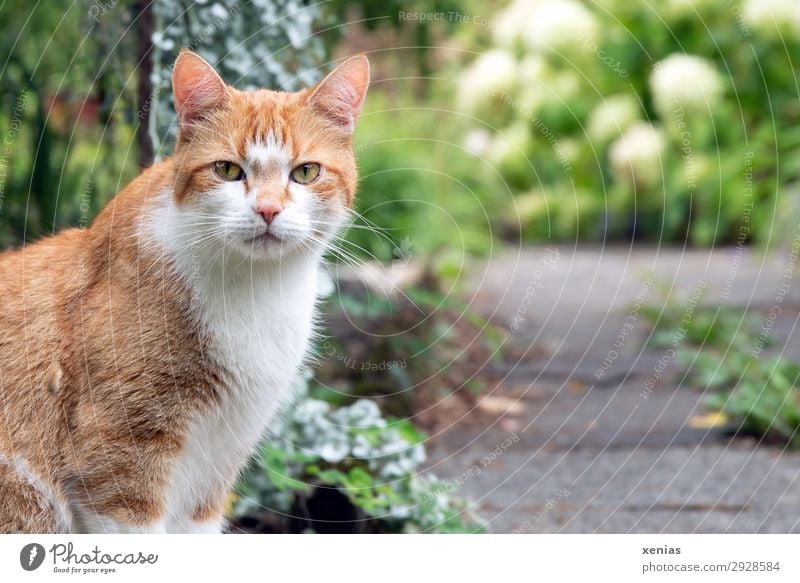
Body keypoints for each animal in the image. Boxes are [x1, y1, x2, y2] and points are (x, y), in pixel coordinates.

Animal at [0, 50, 370, 532]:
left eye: (306, 172)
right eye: (227, 170)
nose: (268, 209)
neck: (255, 290)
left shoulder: (216, 468)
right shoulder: (116, 459)